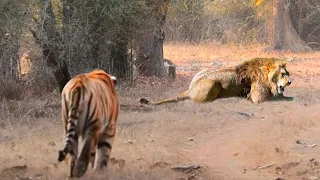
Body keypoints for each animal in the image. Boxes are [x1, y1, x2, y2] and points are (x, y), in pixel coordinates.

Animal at [140, 58, 292, 104]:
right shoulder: (257, 98)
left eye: (288, 74)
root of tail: (190, 90)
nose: (290, 82)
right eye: (283, 74)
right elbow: (276, 98)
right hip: (213, 83)